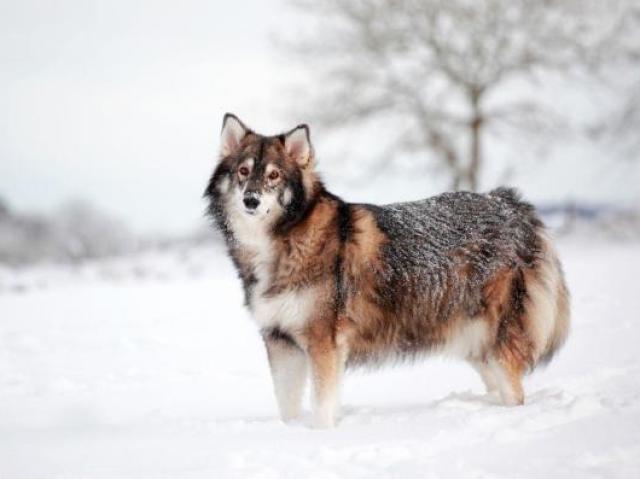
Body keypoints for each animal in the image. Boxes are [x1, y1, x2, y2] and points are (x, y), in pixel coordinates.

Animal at [205, 114, 568, 430]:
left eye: (273, 176)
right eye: (243, 171)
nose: (251, 200)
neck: (283, 240)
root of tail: (509, 203)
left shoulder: (323, 343)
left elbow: (322, 405)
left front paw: (320, 435)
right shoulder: (280, 341)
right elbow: (287, 405)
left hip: (494, 342)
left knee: (516, 393)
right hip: (473, 343)